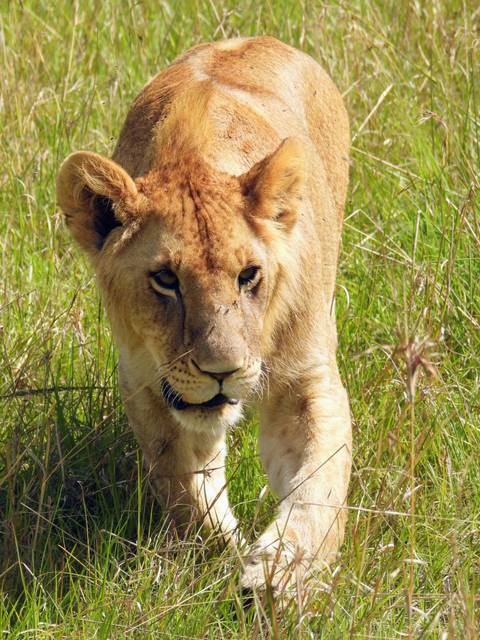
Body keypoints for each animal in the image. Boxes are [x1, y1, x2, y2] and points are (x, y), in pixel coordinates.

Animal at [56, 36, 352, 591]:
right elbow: (187, 490)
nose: (222, 371)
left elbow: (318, 487)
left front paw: (277, 577)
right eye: (166, 279)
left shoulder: (306, 381)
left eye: (249, 275)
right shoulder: (146, 383)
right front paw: (219, 555)